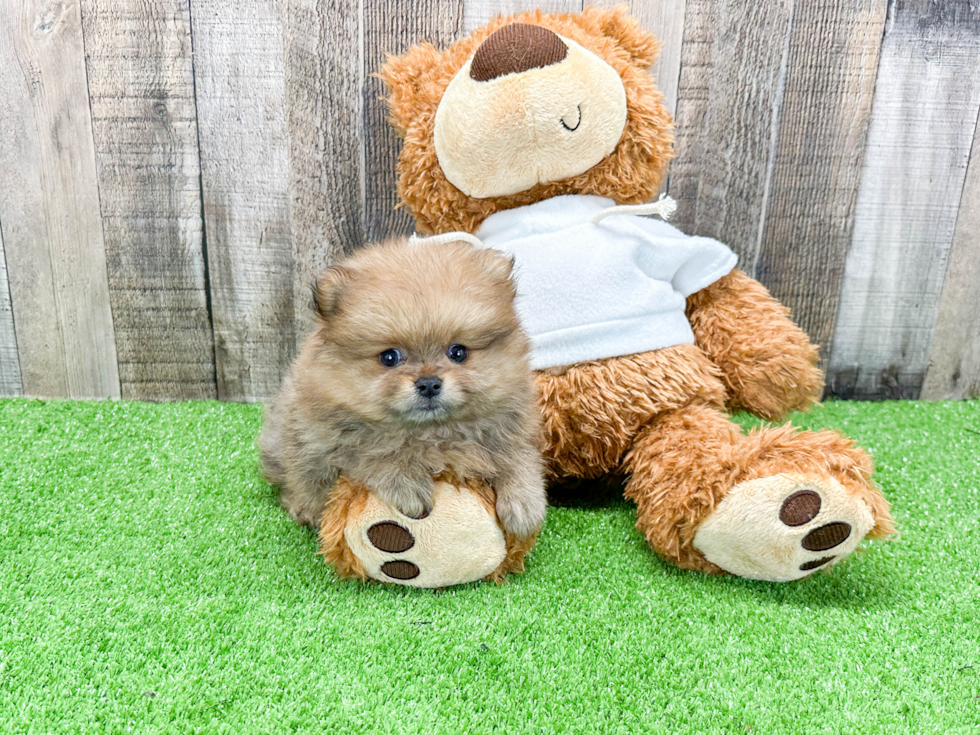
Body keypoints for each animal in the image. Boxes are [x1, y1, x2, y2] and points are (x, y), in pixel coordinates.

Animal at [260, 237, 548, 540]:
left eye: (458, 352)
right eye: (390, 357)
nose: (429, 383)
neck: (432, 433)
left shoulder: (512, 428)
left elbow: (520, 459)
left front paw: (525, 504)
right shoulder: (334, 443)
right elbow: (375, 453)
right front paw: (407, 481)